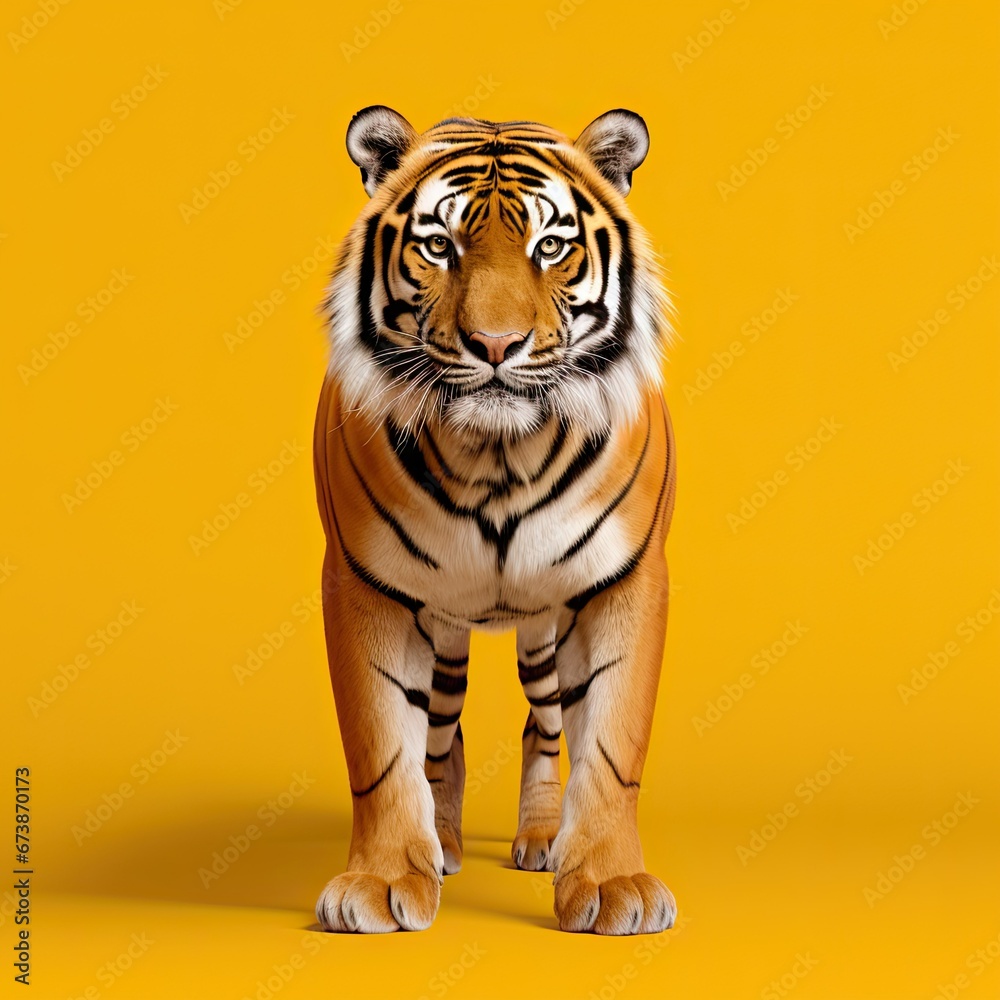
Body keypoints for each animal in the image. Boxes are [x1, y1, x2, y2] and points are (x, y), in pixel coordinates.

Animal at [313, 105, 677, 936]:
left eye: (551, 247)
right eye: (438, 246)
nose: (496, 345)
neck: (497, 458)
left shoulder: (626, 580)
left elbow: (611, 746)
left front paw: (612, 886)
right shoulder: (363, 584)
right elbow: (384, 749)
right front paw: (382, 881)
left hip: (543, 634)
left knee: (543, 725)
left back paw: (540, 840)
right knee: (441, 737)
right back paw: (442, 845)